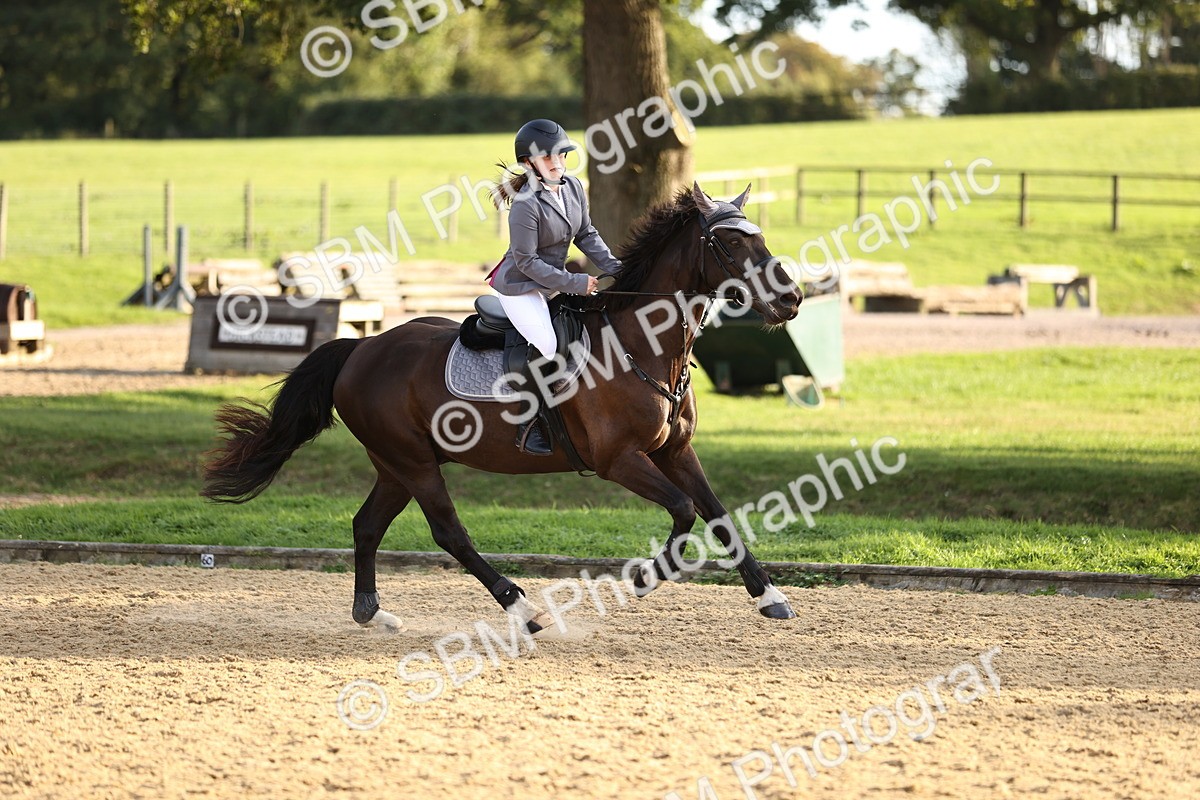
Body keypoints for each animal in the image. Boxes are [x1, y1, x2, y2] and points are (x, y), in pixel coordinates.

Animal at [202, 181, 803, 634]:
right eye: (729, 243)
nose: (792, 299)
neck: (642, 345)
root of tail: (360, 347)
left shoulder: (675, 451)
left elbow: (716, 513)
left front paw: (769, 595)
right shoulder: (619, 461)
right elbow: (683, 511)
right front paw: (642, 578)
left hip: (396, 464)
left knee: (367, 525)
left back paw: (374, 614)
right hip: (412, 462)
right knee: (449, 533)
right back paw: (522, 608)